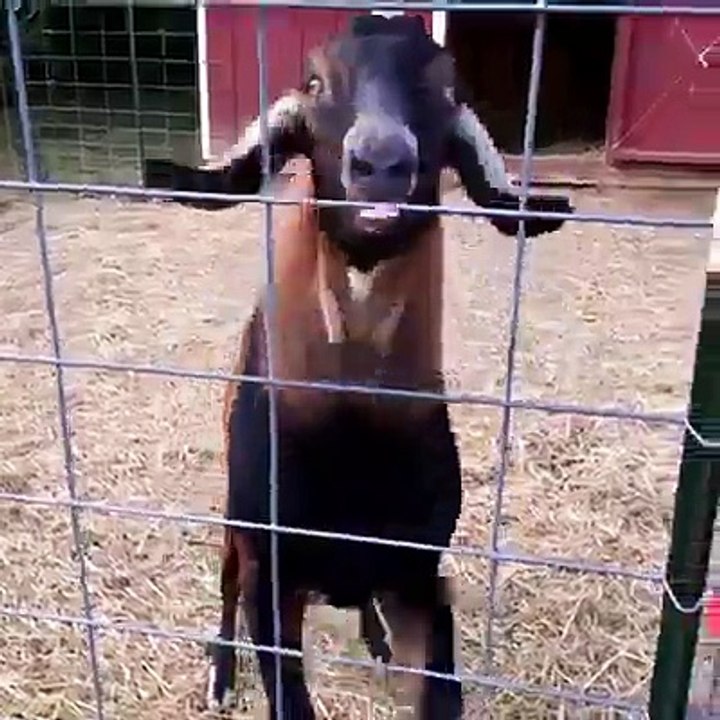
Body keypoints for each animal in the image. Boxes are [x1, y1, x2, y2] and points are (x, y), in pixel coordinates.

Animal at [143, 14, 574, 719]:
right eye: (316, 82)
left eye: (445, 88)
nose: (380, 164)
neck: (352, 435)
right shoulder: (273, 576)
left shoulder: (420, 573)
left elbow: (440, 688)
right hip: (237, 523)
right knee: (227, 579)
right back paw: (221, 676)